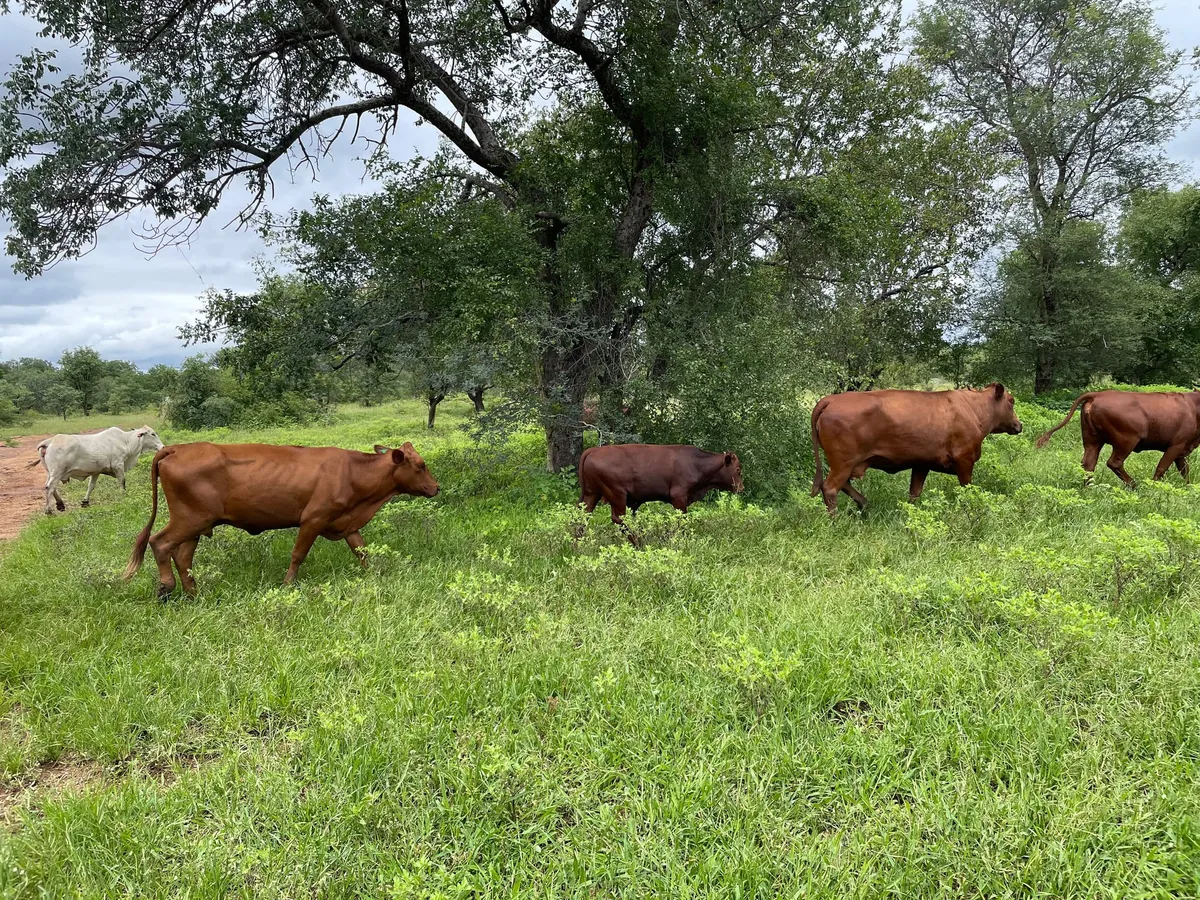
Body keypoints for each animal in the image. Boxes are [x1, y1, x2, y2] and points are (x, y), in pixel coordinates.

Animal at [28, 426, 164, 514]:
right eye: (152, 434)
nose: (162, 447)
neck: (126, 441)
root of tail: (49, 441)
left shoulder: (96, 471)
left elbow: (91, 486)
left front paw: (85, 502)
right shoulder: (118, 465)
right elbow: (122, 481)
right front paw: (123, 495)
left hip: (51, 472)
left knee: (50, 486)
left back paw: (60, 504)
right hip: (57, 471)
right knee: (50, 487)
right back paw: (49, 510)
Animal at [123, 442, 439, 598]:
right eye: (421, 465)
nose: (436, 487)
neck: (353, 473)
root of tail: (177, 447)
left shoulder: (347, 524)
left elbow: (362, 552)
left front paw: (375, 576)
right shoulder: (313, 519)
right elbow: (298, 554)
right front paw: (287, 586)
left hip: (197, 525)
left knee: (183, 557)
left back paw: (194, 594)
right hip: (189, 519)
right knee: (160, 543)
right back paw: (166, 588)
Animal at [576, 443, 744, 546]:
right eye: (738, 470)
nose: (741, 488)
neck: (697, 463)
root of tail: (592, 450)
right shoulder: (679, 497)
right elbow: (681, 519)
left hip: (591, 495)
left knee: (582, 518)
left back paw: (576, 545)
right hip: (617, 495)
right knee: (618, 518)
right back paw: (638, 542)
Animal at [810, 383, 1023, 516]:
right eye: (1011, 401)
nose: (1019, 425)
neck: (973, 410)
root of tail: (831, 400)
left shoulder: (922, 464)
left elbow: (914, 493)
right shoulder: (965, 460)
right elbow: (966, 490)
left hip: (848, 464)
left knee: (841, 485)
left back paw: (864, 502)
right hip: (843, 462)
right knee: (830, 488)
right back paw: (837, 519)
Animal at [1034, 390, 1200, 487]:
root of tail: (1097, 394)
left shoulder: (1182, 450)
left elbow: (1185, 471)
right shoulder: (1176, 445)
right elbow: (1162, 467)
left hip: (1092, 440)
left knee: (1088, 464)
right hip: (1127, 441)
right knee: (1114, 462)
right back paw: (1134, 485)